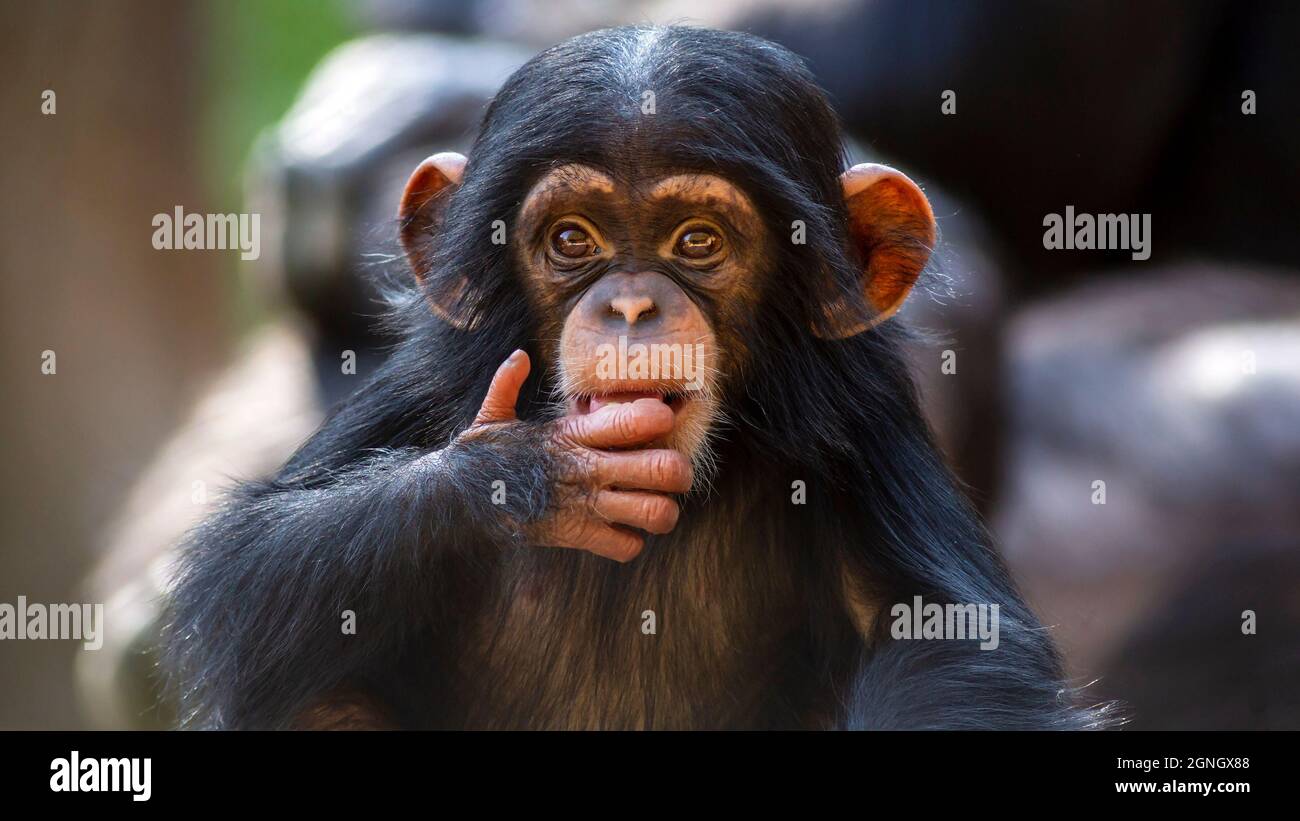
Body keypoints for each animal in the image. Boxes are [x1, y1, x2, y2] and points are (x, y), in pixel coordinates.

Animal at [162, 25, 1107, 732]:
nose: (630, 305)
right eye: (572, 238)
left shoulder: (865, 420)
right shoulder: (429, 382)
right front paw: (537, 471)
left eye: (698, 240)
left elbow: (945, 634)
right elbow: (247, 562)